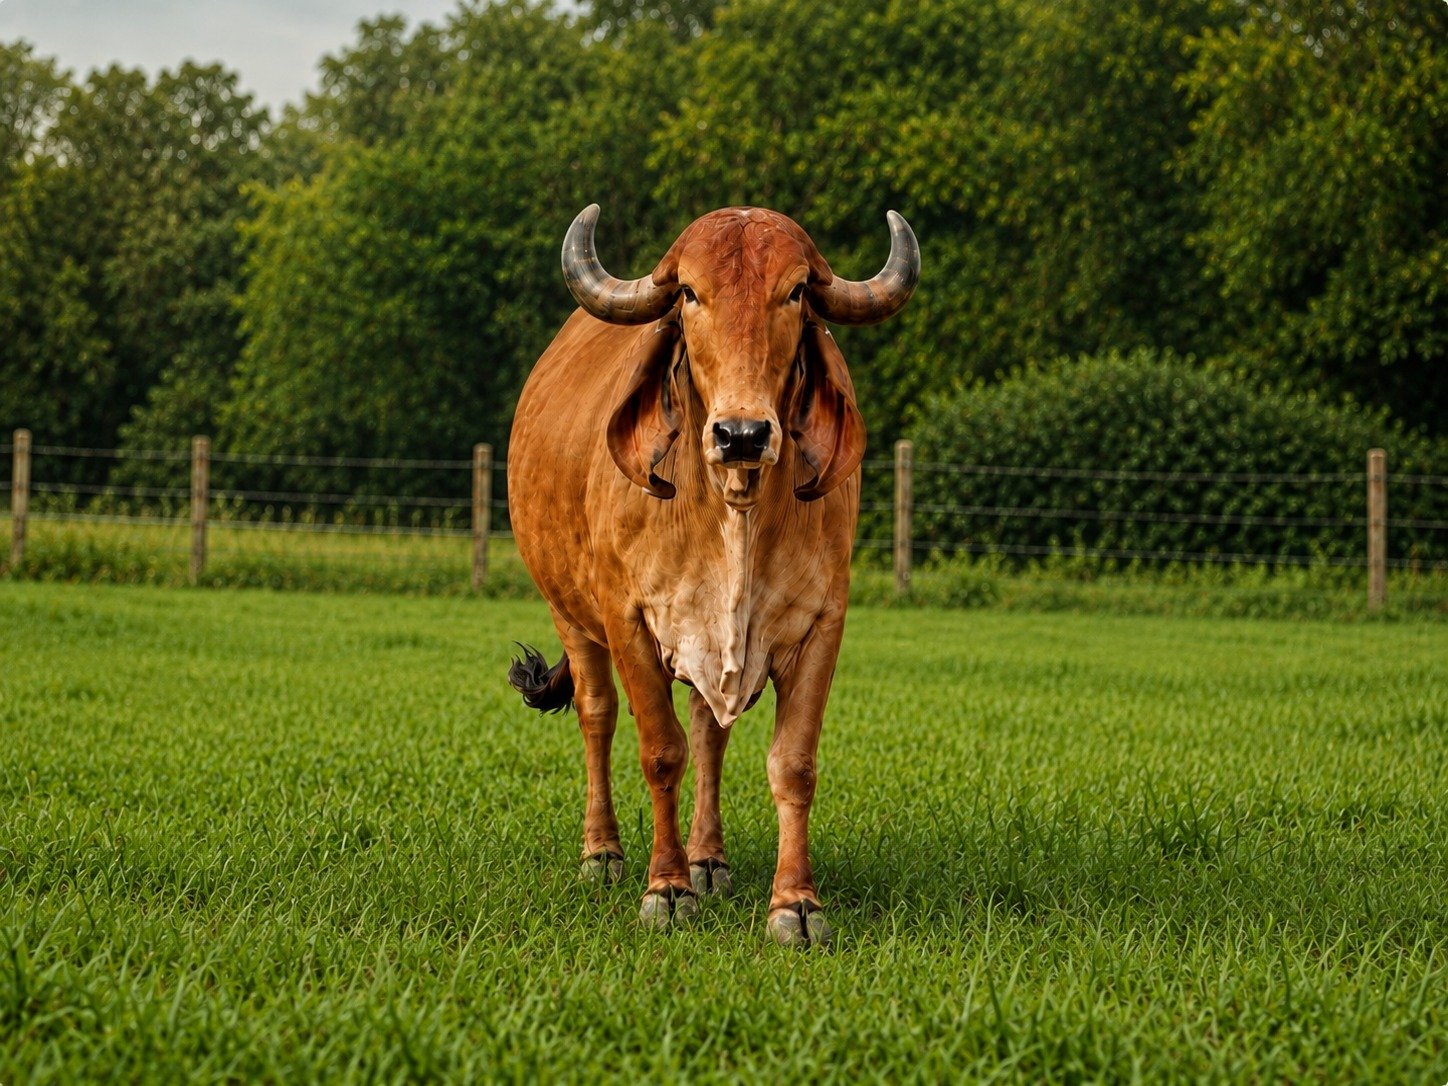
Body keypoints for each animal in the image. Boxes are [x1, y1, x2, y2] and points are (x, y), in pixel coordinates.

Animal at [507, 204, 919, 947]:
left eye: (794, 291)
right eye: (691, 294)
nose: (742, 434)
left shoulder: (821, 625)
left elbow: (791, 764)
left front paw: (795, 905)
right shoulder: (629, 620)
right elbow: (659, 752)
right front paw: (665, 890)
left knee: (709, 732)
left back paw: (708, 861)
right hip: (570, 615)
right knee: (597, 716)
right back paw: (603, 854)